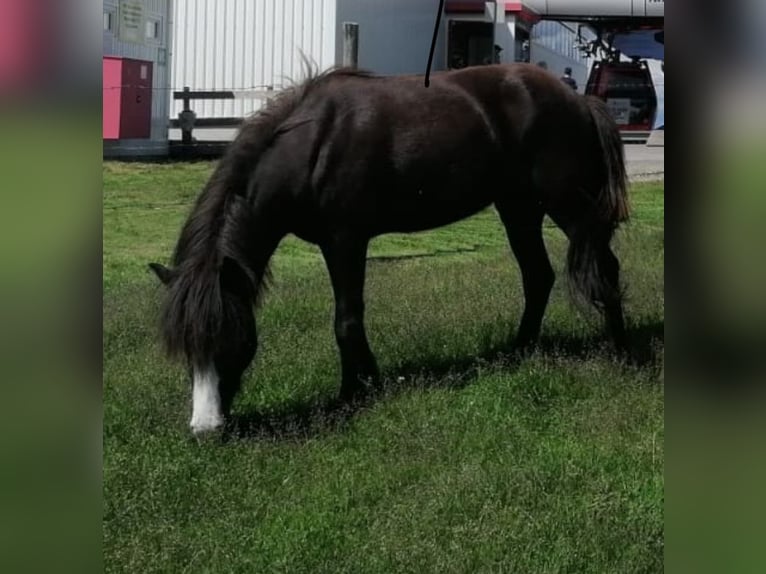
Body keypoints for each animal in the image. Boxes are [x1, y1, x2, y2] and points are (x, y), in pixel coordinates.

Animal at [149, 64, 629, 434]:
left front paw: (352, 394)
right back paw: (519, 352)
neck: (312, 147)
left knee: (605, 268)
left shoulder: (345, 240)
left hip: (568, 207)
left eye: (230, 339)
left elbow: (346, 319)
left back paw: (619, 352)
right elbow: (350, 318)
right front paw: (367, 381)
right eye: (186, 346)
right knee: (538, 276)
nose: (205, 429)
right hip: (519, 208)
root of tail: (579, 100)